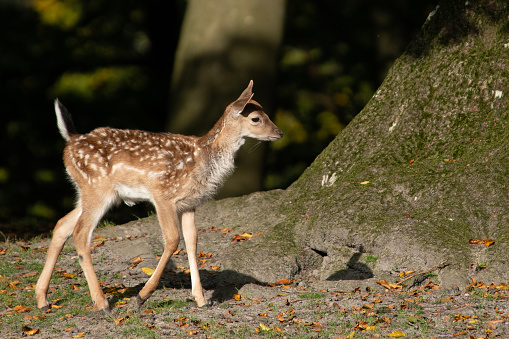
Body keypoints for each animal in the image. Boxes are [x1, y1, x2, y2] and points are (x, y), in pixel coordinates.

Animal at [34, 80, 282, 314]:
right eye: (256, 118)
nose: (279, 133)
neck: (202, 159)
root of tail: (71, 140)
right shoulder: (163, 195)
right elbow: (172, 239)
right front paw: (142, 296)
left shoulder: (189, 204)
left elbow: (192, 241)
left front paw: (201, 300)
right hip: (97, 188)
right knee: (80, 234)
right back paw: (102, 302)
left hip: (93, 193)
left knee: (62, 224)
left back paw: (43, 300)